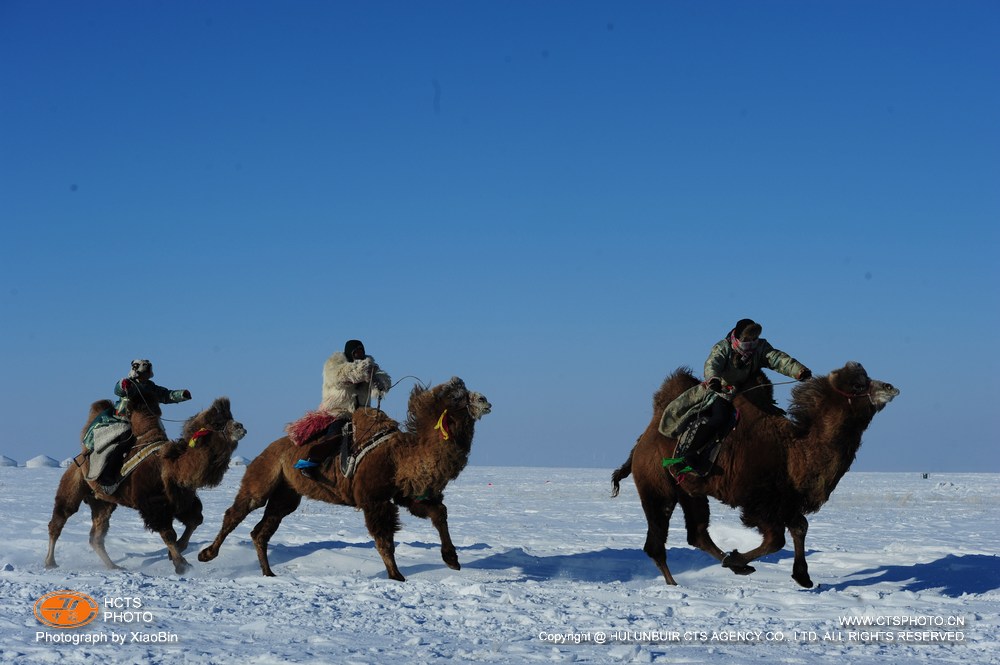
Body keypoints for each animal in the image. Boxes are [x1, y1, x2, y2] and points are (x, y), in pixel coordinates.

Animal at [45, 394, 250, 572]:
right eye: (218, 423)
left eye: (231, 417)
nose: (241, 427)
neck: (173, 468)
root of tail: (80, 457)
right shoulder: (154, 504)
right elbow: (168, 533)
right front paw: (182, 565)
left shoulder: (183, 500)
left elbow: (195, 520)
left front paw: (178, 551)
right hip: (74, 484)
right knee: (59, 519)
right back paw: (50, 562)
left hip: (102, 501)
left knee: (96, 535)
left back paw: (114, 566)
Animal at [197, 376, 490, 580]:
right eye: (459, 396)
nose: (486, 400)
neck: (400, 456)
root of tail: (267, 449)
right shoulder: (373, 499)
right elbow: (384, 539)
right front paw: (396, 576)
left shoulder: (406, 494)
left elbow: (438, 512)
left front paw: (452, 559)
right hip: (263, 476)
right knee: (237, 511)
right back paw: (206, 554)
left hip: (286, 493)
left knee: (262, 529)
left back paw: (268, 573)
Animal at [608, 364, 900, 588]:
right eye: (858, 386)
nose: (890, 387)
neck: (794, 451)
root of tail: (642, 443)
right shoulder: (759, 501)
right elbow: (776, 539)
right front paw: (737, 559)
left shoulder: (785, 500)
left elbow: (800, 527)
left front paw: (803, 577)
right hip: (658, 488)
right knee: (657, 540)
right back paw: (675, 583)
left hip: (691, 491)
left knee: (697, 532)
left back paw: (730, 567)